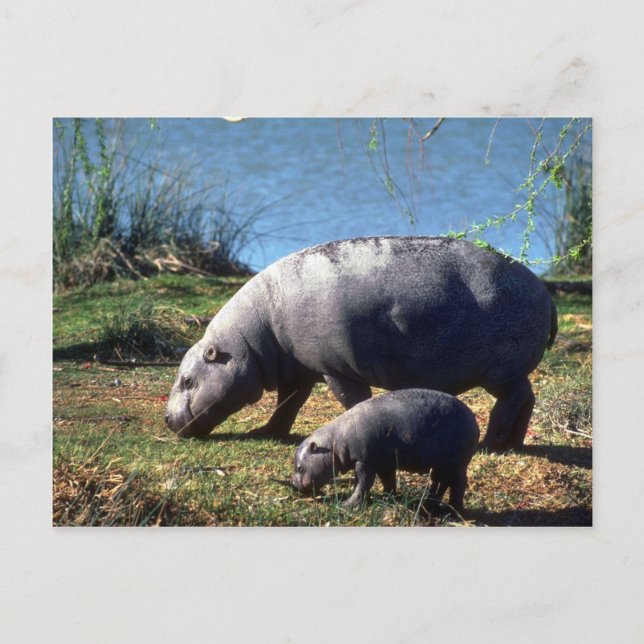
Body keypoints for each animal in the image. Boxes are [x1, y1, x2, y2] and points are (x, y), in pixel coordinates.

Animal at [165, 236, 557, 450]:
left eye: (187, 380)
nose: (167, 419)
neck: (249, 342)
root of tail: (545, 291)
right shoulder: (298, 369)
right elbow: (288, 404)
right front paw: (265, 432)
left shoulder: (335, 368)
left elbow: (351, 400)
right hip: (509, 372)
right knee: (527, 398)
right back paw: (512, 444)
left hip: (499, 371)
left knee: (512, 400)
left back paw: (491, 444)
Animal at [290, 389, 480, 513]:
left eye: (299, 467)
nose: (292, 484)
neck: (334, 442)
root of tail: (474, 420)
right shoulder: (384, 463)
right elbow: (388, 480)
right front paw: (389, 497)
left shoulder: (365, 461)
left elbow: (363, 483)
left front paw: (346, 505)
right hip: (442, 464)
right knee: (440, 481)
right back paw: (430, 503)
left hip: (457, 463)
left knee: (458, 483)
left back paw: (455, 509)